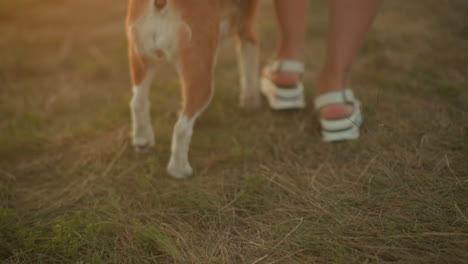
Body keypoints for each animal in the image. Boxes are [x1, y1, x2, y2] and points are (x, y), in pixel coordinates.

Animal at [126, 0, 262, 178]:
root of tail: (160, 3)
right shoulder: (247, 32)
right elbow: (249, 71)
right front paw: (250, 102)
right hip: (202, 78)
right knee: (181, 127)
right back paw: (179, 169)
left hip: (141, 61)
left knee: (137, 102)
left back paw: (142, 140)